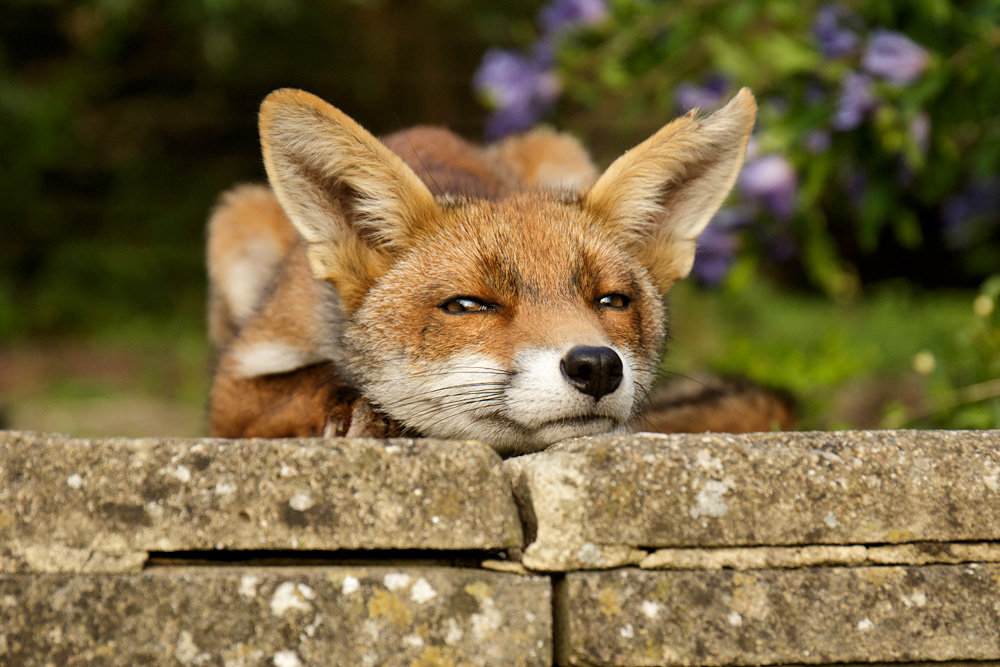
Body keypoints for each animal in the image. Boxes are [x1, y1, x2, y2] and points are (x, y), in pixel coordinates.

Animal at [206, 87, 794, 455]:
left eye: (611, 301)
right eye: (468, 305)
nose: (597, 366)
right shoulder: (230, 390)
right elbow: (310, 380)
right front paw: (362, 408)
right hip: (236, 220)